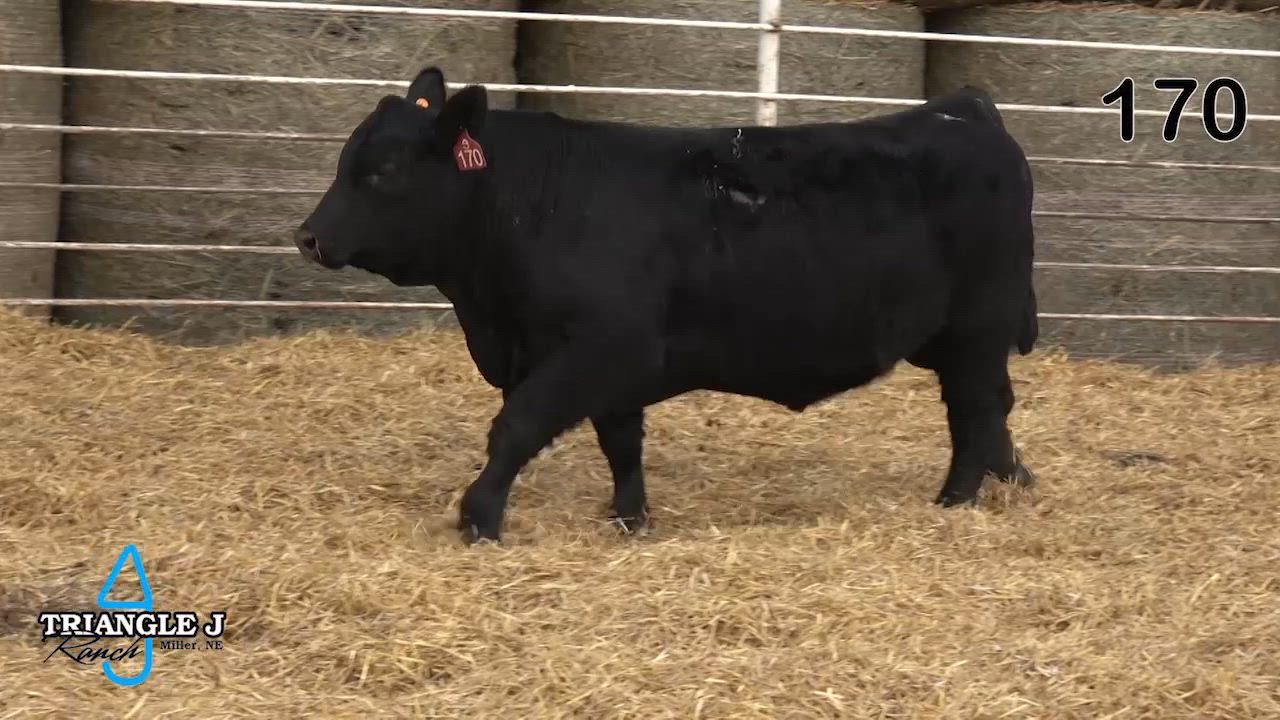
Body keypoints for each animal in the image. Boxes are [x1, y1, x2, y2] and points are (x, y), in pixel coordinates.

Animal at [294, 67, 1039, 543]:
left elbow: (515, 427)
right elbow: (621, 444)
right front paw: (630, 521)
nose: (309, 236)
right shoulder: (610, 369)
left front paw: (479, 517)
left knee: (975, 410)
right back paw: (1012, 478)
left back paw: (955, 500)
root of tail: (961, 108)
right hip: (958, 337)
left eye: (384, 170)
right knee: (989, 411)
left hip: (976, 328)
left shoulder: (594, 350)